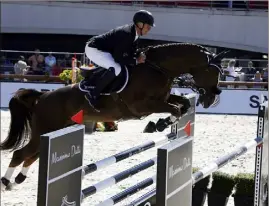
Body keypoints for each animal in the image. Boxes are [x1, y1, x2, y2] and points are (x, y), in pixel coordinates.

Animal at [0, 42, 226, 190]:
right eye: (211, 71)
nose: (211, 99)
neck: (158, 69)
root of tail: (42, 96)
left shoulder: (162, 99)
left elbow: (183, 104)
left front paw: (159, 124)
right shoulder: (142, 105)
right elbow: (177, 110)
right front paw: (158, 124)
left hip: (53, 131)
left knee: (32, 155)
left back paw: (18, 179)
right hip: (45, 129)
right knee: (21, 153)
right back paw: (6, 182)